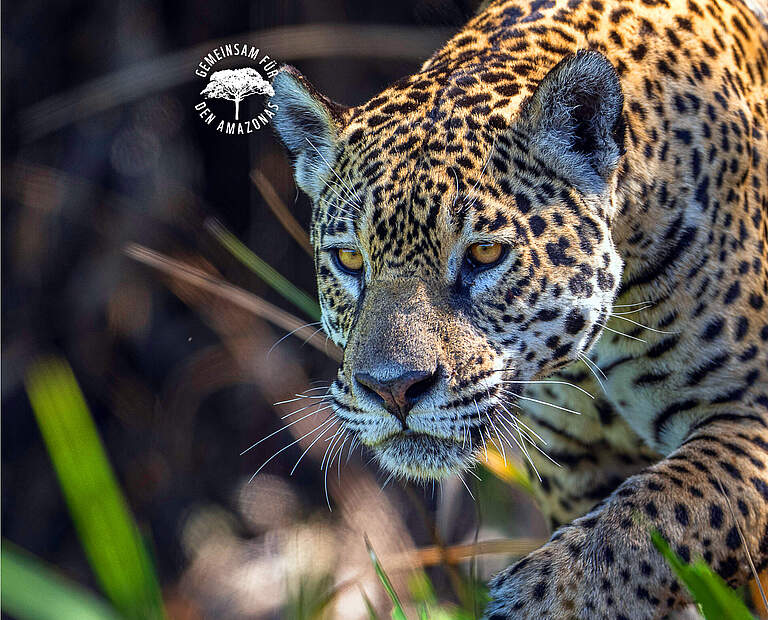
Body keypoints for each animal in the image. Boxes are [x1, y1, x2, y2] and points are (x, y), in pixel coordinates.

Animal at [270, 0, 768, 616]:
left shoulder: (748, 411)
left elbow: (648, 520)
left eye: (485, 253)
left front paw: (538, 598)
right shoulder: (574, 467)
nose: (393, 390)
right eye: (348, 258)